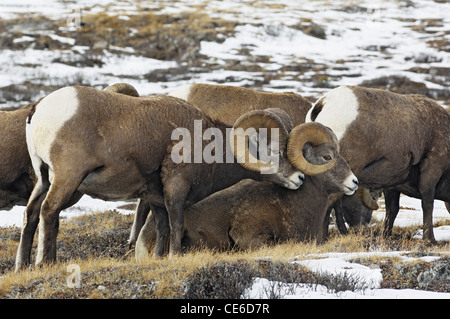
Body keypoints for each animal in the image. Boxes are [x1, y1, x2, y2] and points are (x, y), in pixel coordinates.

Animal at [306, 85, 450, 242]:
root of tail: (323, 103)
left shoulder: (393, 186)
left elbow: (392, 210)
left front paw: (386, 235)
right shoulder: (431, 171)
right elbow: (427, 204)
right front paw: (430, 240)